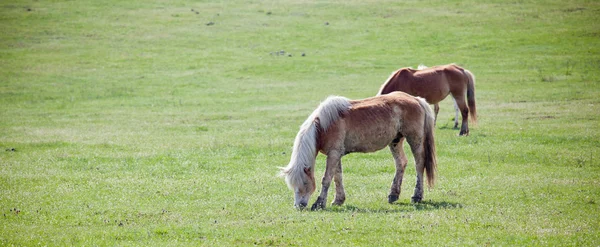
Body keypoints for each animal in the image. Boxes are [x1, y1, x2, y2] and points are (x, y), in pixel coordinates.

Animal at [278, 91, 438, 209]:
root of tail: (416, 99)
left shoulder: (333, 154)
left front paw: (319, 203)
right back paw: (393, 195)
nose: (299, 206)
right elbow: (337, 177)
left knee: (419, 165)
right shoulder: (336, 155)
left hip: (415, 140)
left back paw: (416, 196)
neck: (323, 126)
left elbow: (326, 179)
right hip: (395, 142)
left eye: (305, 183)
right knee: (401, 163)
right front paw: (338, 200)